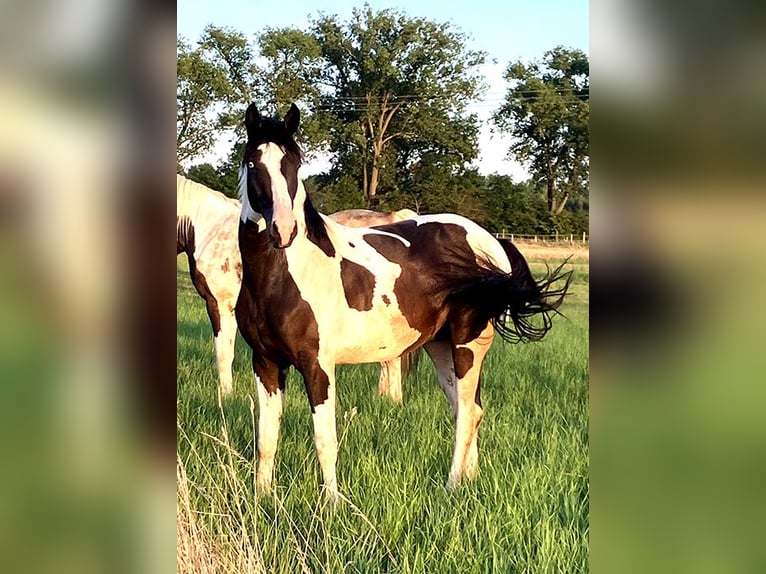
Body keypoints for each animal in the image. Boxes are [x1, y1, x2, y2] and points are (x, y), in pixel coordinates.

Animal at [235, 103, 572, 502]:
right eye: (253, 162)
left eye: (295, 163)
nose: (283, 230)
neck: (286, 276)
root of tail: (490, 242)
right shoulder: (266, 363)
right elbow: (266, 438)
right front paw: (262, 497)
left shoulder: (318, 366)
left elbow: (324, 440)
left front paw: (331, 505)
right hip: (441, 347)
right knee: (469, 409)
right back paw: (470, 481)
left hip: (468, 345)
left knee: (467, 414)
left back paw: (451, 486)